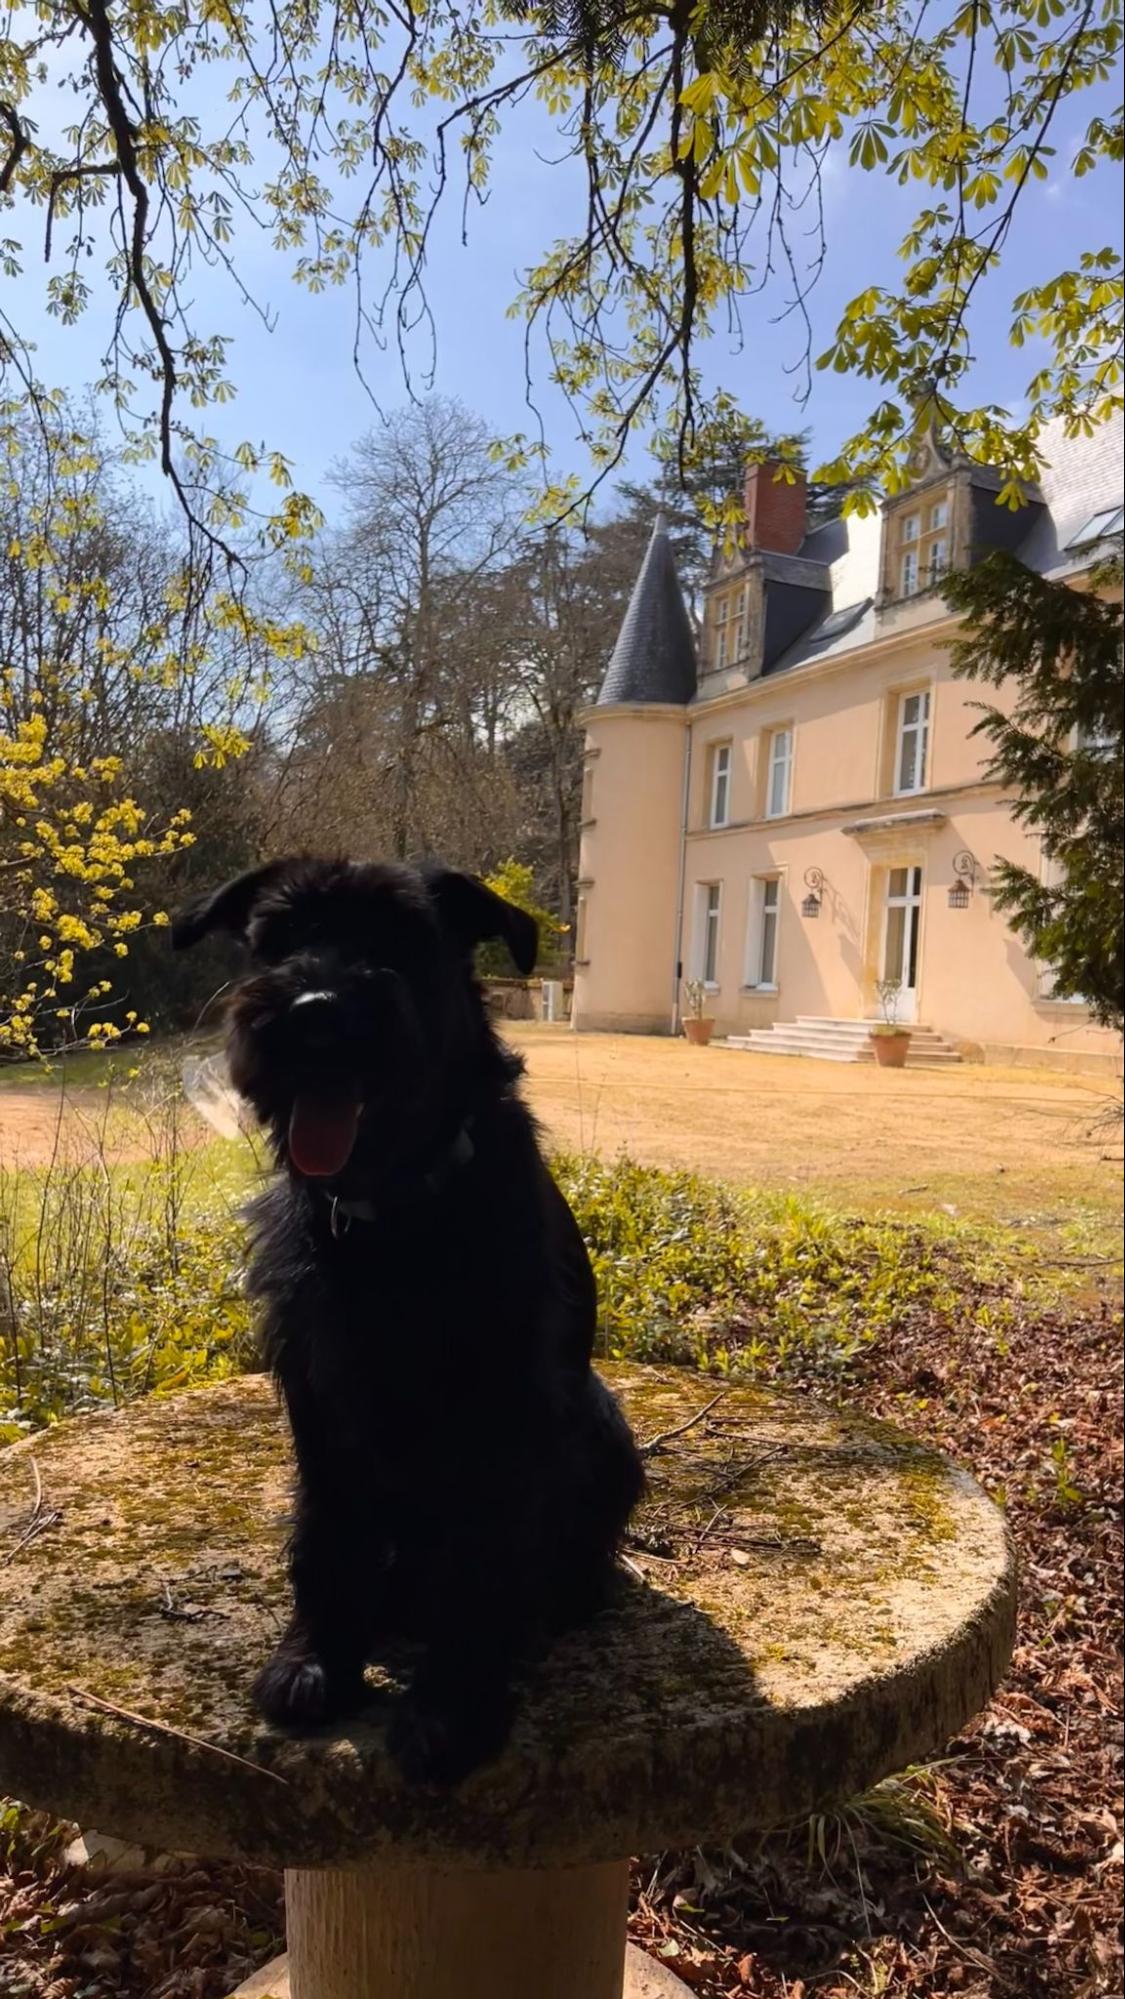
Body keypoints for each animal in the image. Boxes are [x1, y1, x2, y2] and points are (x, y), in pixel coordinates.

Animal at [168, 859, 643, 1783]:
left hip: (600, 1421)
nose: (315, 1011)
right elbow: (328, 1531)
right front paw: (316, 1657)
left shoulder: (499, 1403)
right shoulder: (318, 1391)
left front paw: (452, 1704)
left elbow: (480, 1557)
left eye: (402, 936)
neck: (390, 1212)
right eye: (277, 937)